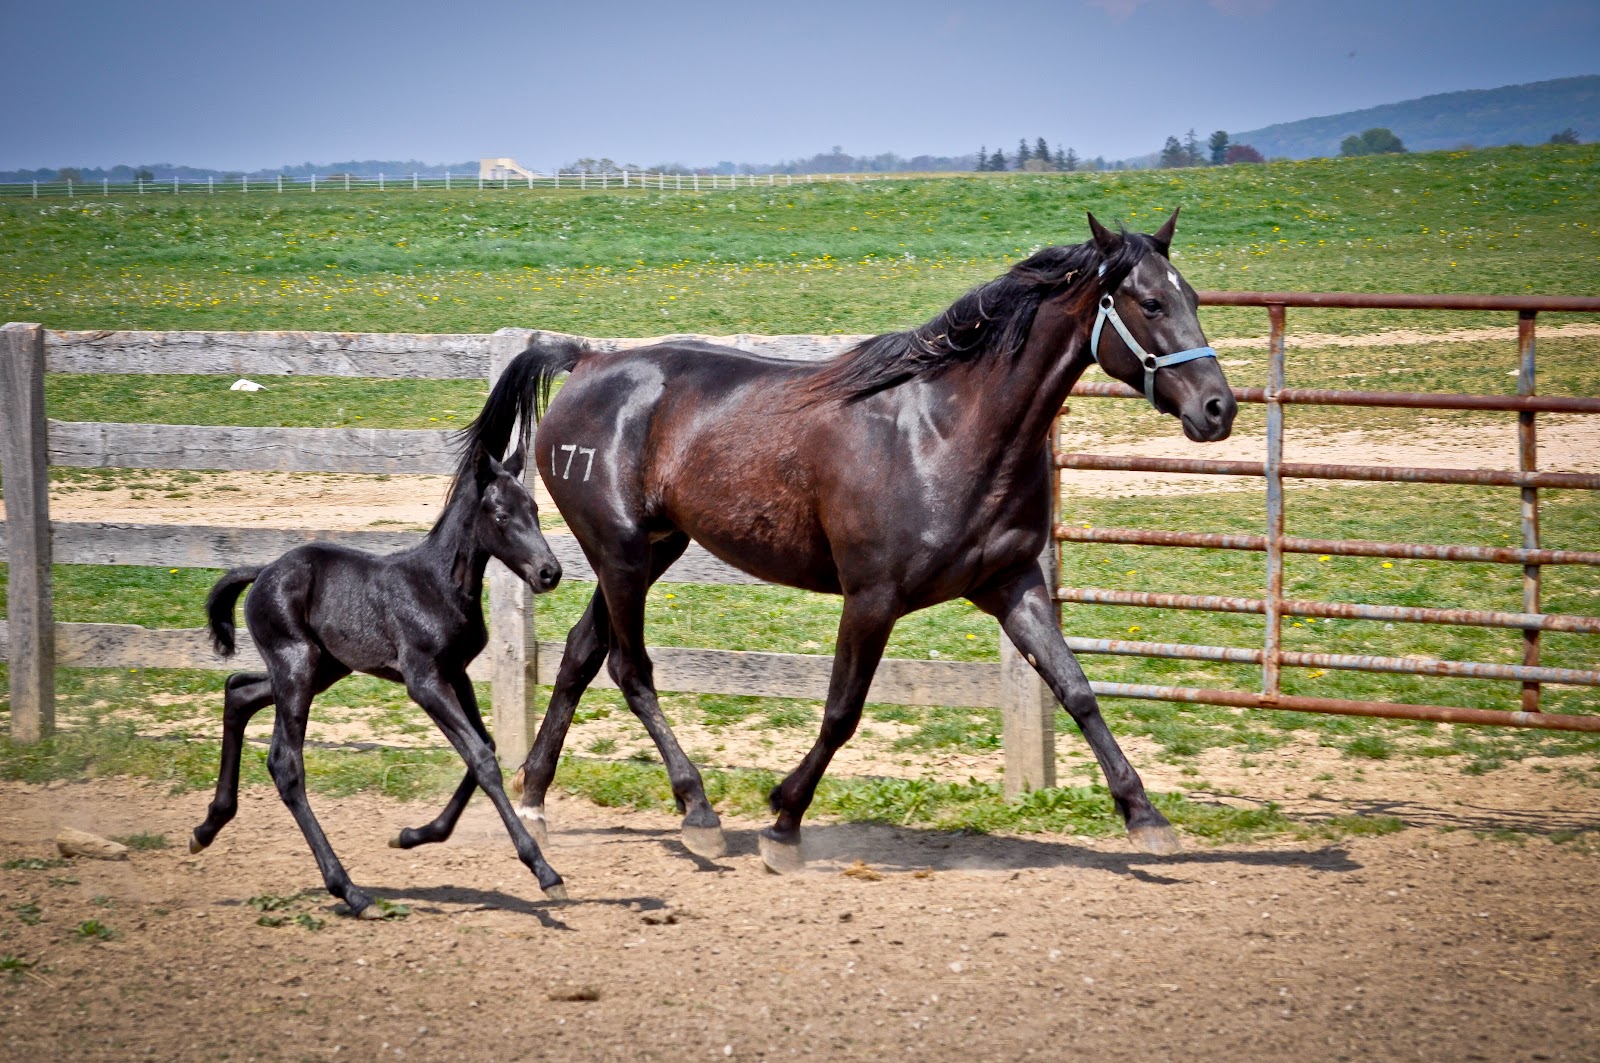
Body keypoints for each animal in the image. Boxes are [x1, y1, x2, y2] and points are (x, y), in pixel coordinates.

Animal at [190, 398, 569, 916]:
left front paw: (413, 835)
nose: (549, 572)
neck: (440, 586)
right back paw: (349, 890)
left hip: (324, 667)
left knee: (239, 692)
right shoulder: (423, 680)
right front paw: (544, 871)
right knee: (286, 764)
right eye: (499, 514)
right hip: (297, 665)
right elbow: (480, 756)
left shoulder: (456, 674)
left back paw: (208, 827)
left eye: (533, 507)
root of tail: (263, 571)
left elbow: (485, 746)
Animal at [498, 210, 1236, 872]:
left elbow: (1076, 689)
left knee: (581, 653)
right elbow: (841, 711)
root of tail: (588, 361)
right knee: (631, 669)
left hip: (651, 550)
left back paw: (534, 797)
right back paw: (698, 812)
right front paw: (783, 823)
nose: (1218, 409)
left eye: (1194, 297)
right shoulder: (872, 597)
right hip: (620, 551)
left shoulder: (1014, 584)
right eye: (1150, 301)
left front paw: (1147, 817)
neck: (947, 432)